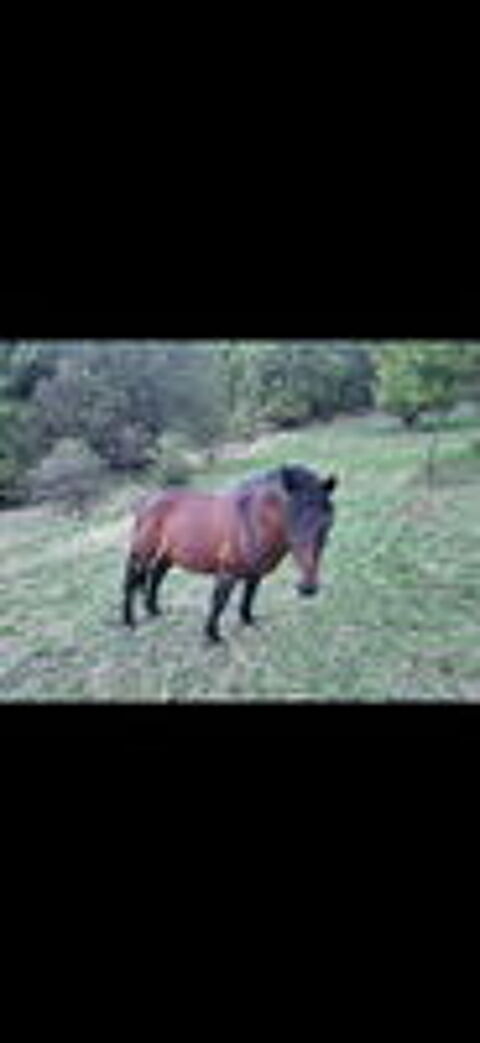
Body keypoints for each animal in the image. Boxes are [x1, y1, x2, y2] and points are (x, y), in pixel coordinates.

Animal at [123, 464, 338, 642]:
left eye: (326, 523)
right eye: (291, 519)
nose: (307, 588)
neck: (250, 521)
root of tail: (147, 501)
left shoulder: (254, 572)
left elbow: (249, 595)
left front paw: (248, 620)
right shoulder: (227, 572)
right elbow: (220, 602)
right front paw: (213, 636)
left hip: (169, 554)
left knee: (157, 575)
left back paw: (154, 610)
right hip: (142, 553)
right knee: (131, 581)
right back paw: (129, 621)